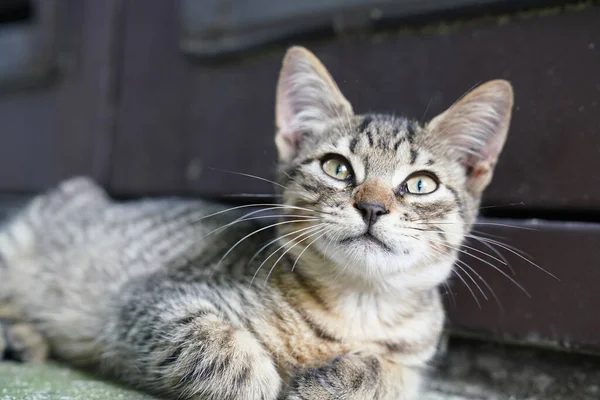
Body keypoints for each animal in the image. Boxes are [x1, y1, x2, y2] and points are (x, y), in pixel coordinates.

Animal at [0, 47, 512, 400]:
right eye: (337, 168)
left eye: (421, 184)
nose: (371, 207)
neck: (357, 307)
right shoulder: (151, 300)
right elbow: (213, 342)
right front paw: (254, 379)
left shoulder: (415, 359)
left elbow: (391, 373)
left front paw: (337, 382)